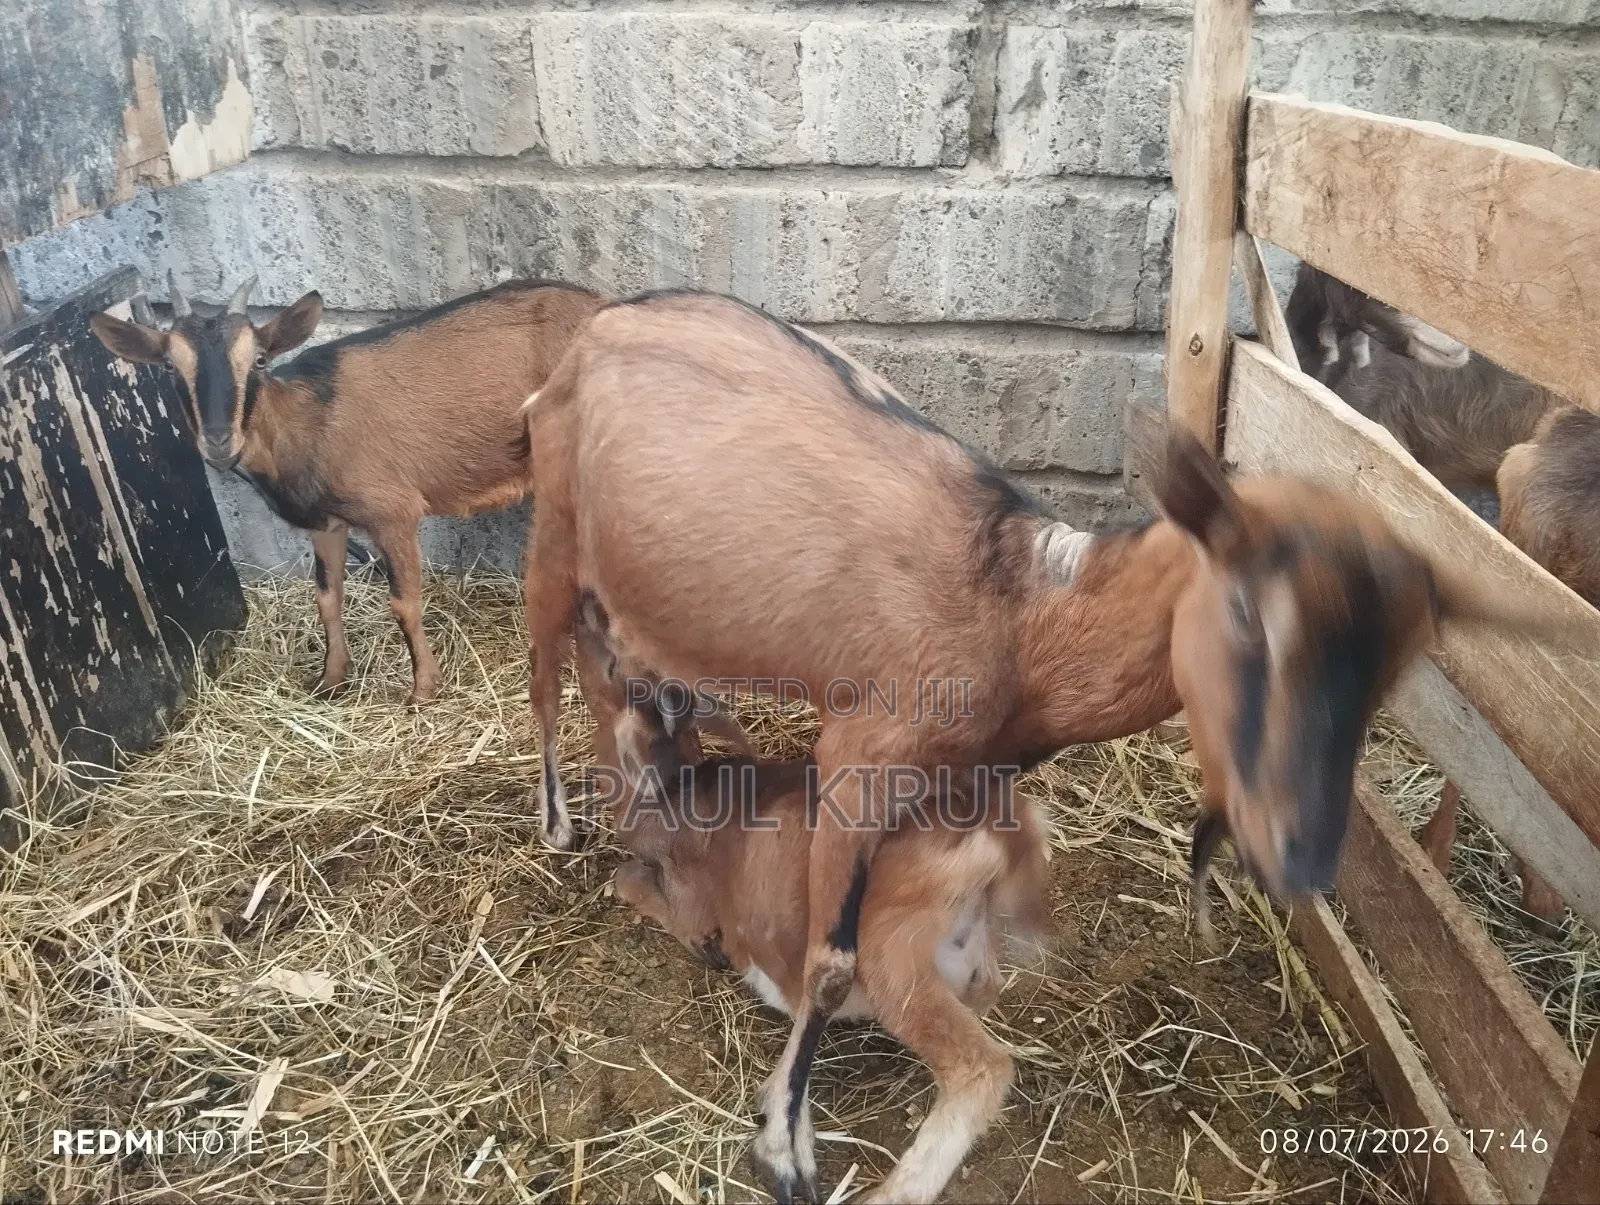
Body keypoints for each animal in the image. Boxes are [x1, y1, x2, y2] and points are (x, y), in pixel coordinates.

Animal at [90, 275, 604, 706]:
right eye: (169, 366)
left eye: (259, 360)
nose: (219, 441)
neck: (305, 423)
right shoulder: (325, 524)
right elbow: (327, 598)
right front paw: (330, 679)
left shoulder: (392, 512)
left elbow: (404, 602)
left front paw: (423, 689)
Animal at [575, 592, 1050, 1205]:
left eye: (611, 670)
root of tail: (1003, 831)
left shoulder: (687, 895)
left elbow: (629, 881)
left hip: (890, 951)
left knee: (980, 1065)